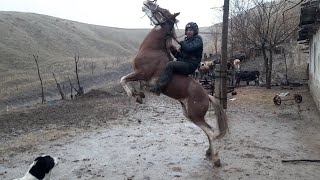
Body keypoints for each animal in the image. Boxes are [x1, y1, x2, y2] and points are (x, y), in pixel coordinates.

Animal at [120, 0, 228, 166]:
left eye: (163, 10)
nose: (148, 3)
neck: (153, 49)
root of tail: (207, 95)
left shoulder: (141, 74)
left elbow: (123, 80)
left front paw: (137, 96)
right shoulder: (140, 76)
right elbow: (128, 82)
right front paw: (140, 94)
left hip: (195, 115)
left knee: (211, 132)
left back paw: (215, 158)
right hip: (189, 115)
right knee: (209, 132)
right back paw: (210, 154)